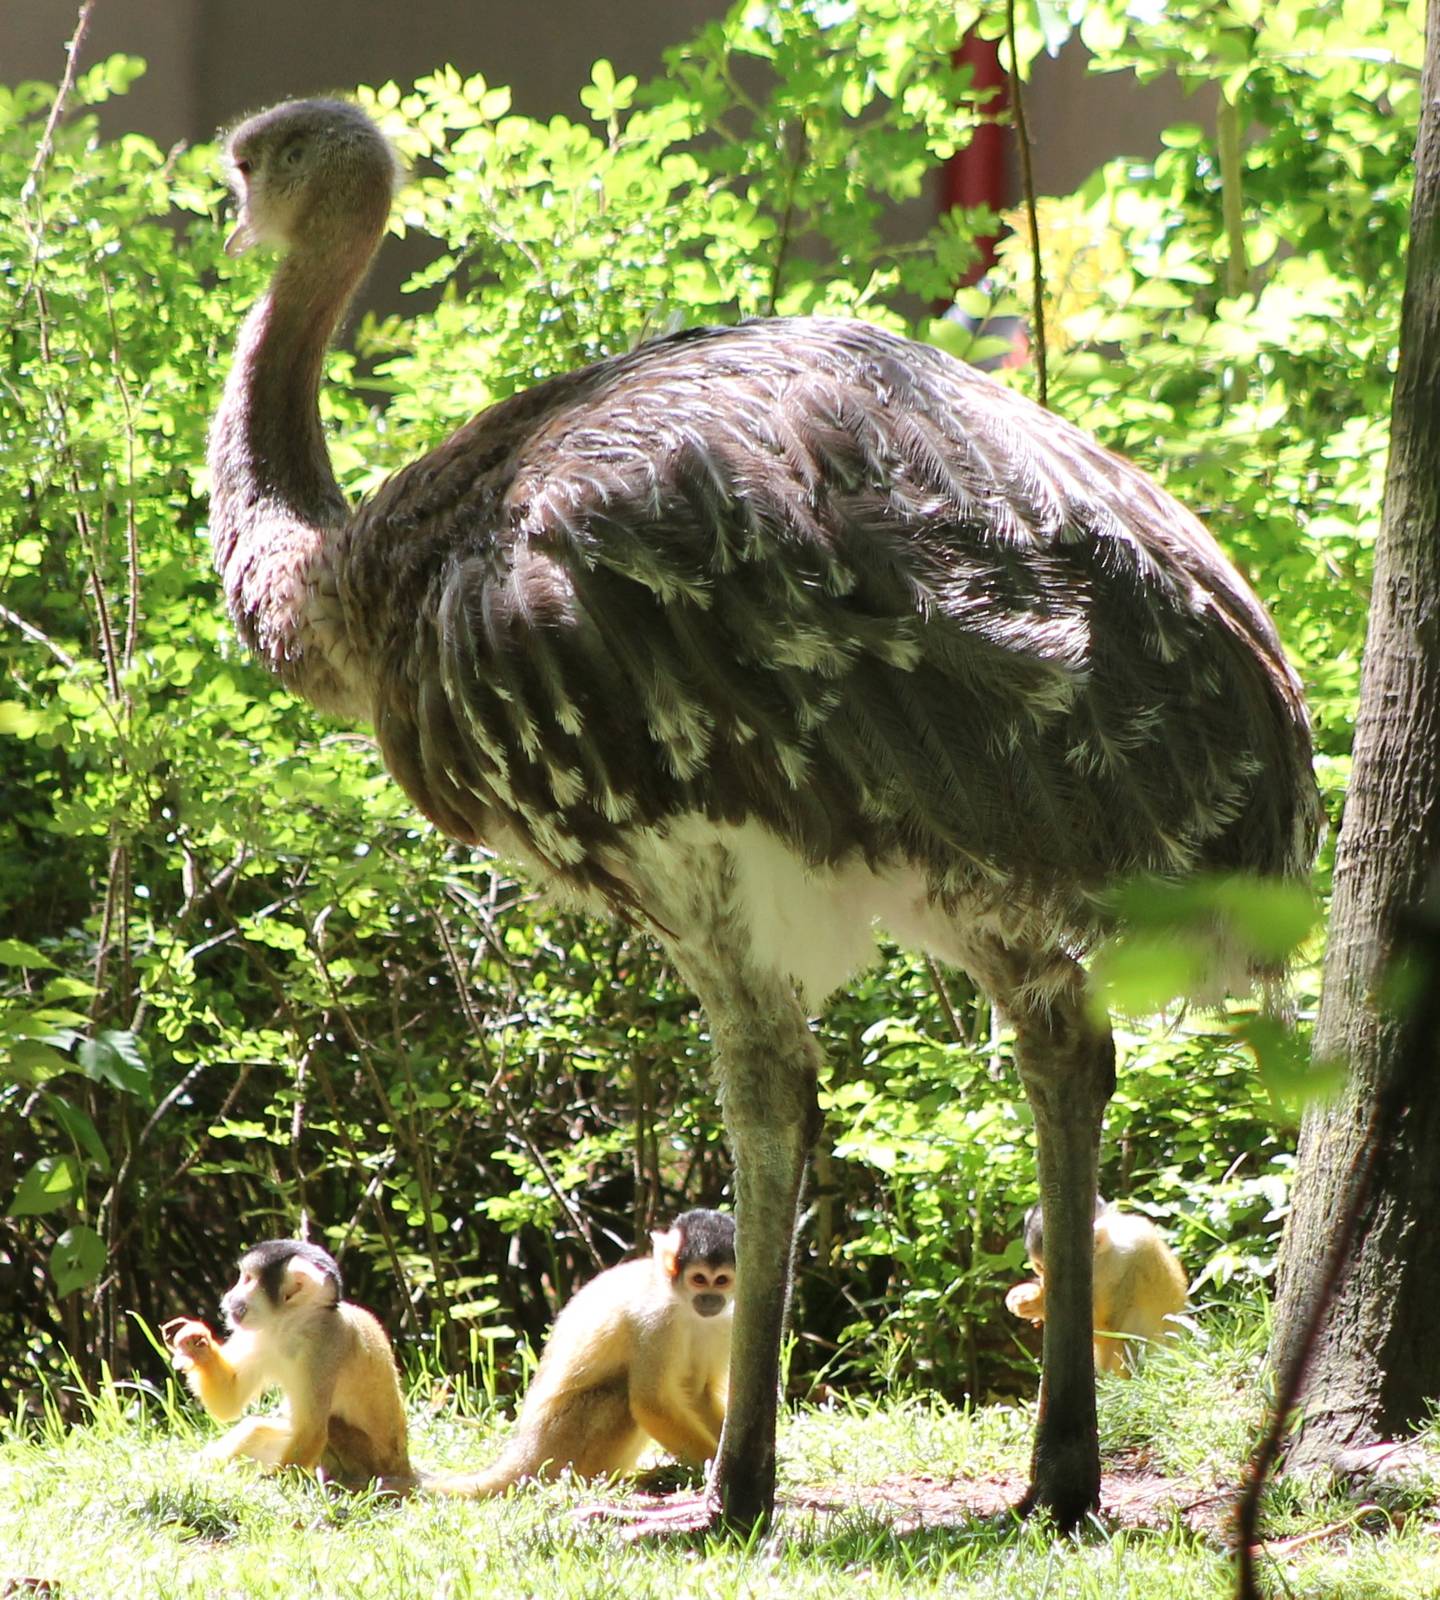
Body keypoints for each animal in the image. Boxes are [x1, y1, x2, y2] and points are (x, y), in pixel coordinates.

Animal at [163, 1238, 412, 1490]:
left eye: (248, 1280)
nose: (229, 1296)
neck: (292, 1326)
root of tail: (406, 1470)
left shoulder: (325, 1348)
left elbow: (313, 1431)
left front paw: (274, 1483)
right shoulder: (261, 1336)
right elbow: (228, 1402)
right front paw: (194, 1344)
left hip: (369, 1464)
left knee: (331, 1424)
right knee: (257, 1428)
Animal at [427, 1208, 735, 1497]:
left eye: (721, 1281)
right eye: (699, 1279)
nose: (710, 1300)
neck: (683, 1304)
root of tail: (525, 1448)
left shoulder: (725, 1323)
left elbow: (695, 1393)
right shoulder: (655, 1320)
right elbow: (650, 1403)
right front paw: (710, 1465)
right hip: (559, 1441)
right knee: (620, 1392)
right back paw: (599, 1483)